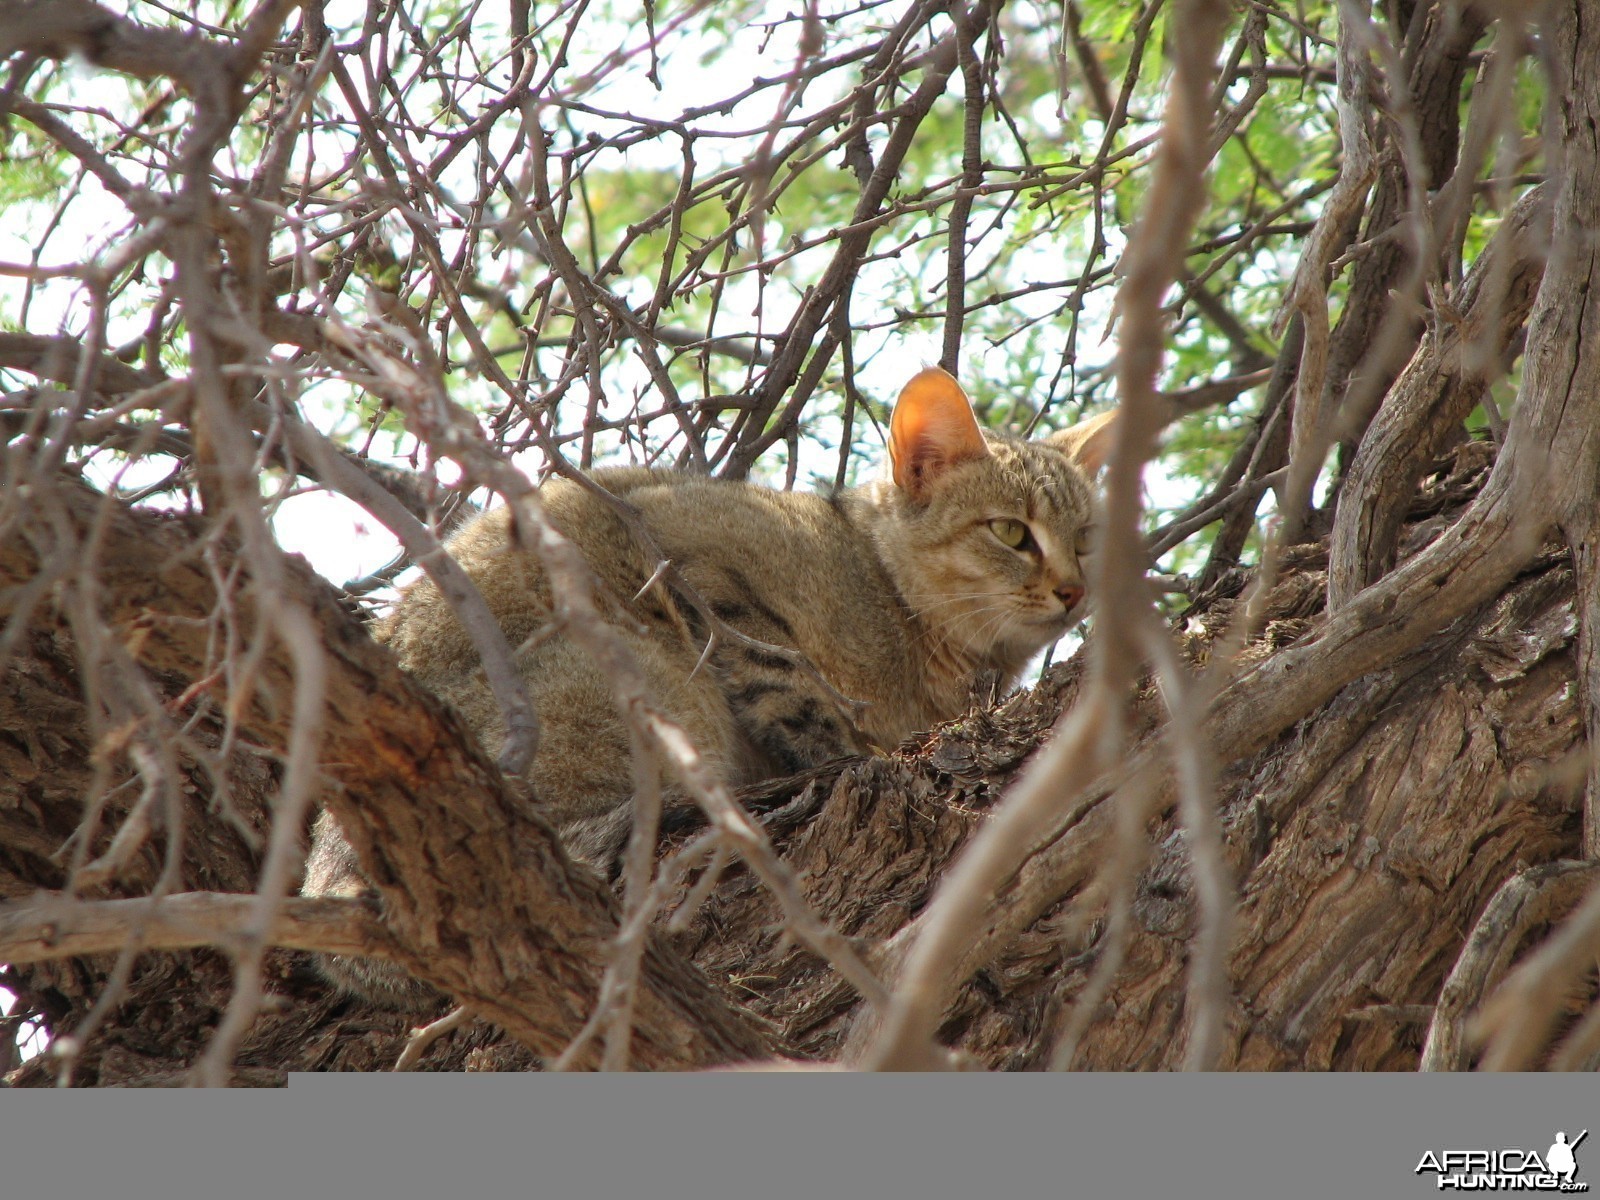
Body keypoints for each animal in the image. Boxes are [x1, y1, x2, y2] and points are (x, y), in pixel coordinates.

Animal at [305, 366, 1120, 1004]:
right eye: (1012, 533)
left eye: (1087, 539)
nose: (1078, 590)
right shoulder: (691, 562)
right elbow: (797, 694)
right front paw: (849, 752)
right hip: (647, 678)